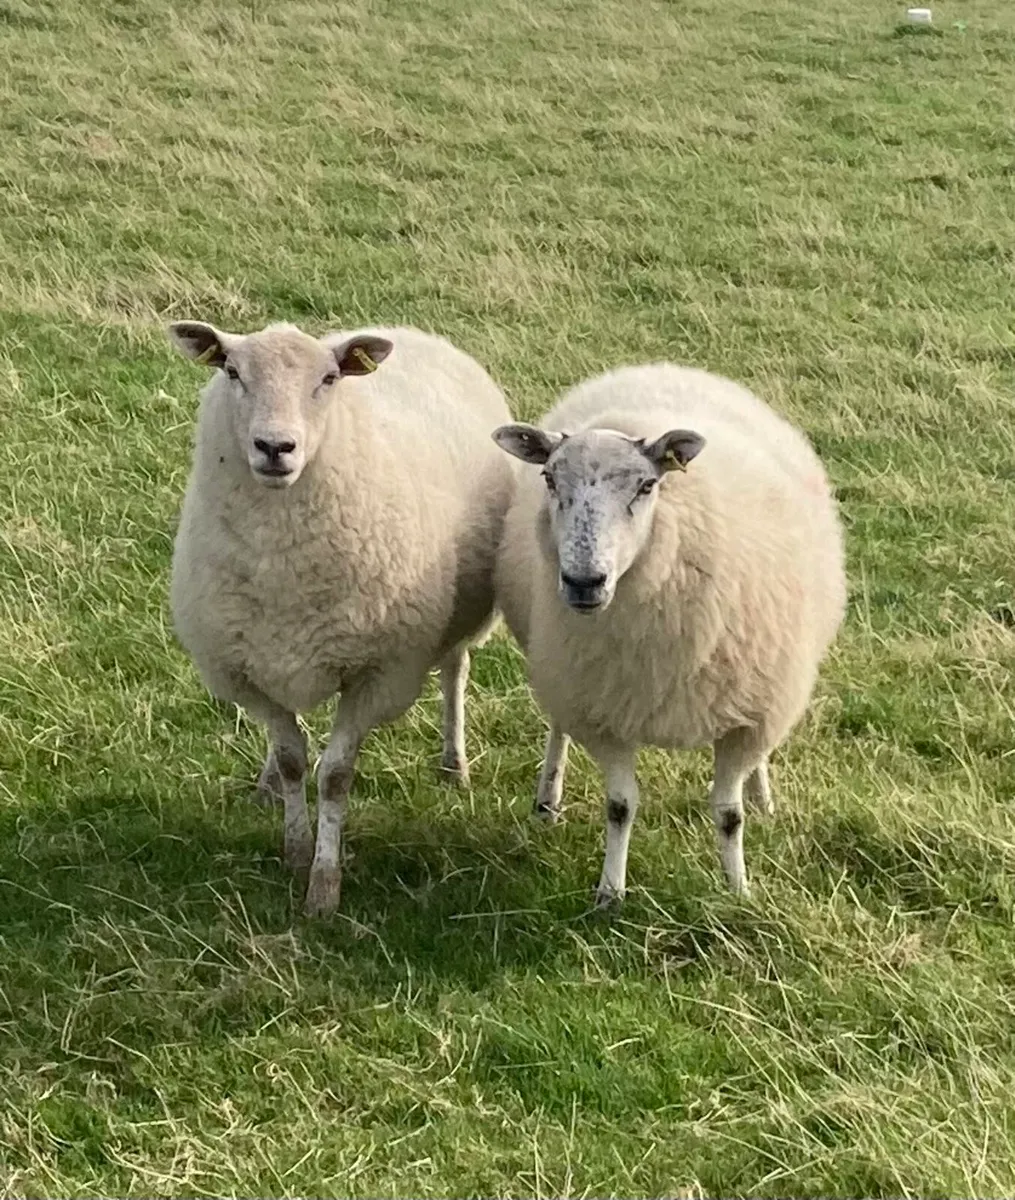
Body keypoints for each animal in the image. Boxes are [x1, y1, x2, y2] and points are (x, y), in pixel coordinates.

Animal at [168, 320, 515, 915]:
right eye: (231, 371)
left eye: (328, 379)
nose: (275, 447)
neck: (282, 564)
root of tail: (406, 329)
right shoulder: (244, 670)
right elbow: (291, 759)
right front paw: (294, 847)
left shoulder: (378, 674)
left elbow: (334, 776)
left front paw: (323, 888)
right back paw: (265, 785)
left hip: (462, 612)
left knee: (454, 670)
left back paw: (454, 763)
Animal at [492, 363, 846, 903]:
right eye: (549, 478)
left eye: (646, 486)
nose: (584, 582)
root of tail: (663, 367)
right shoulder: (603, 710)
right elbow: (619, 807)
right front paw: (610, 893)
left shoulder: (750, 715)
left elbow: (728, 814)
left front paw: (738, 890)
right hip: (563, 673)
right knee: (558, 729)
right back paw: (548, 798)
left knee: (759, 766)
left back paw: (763, 797)